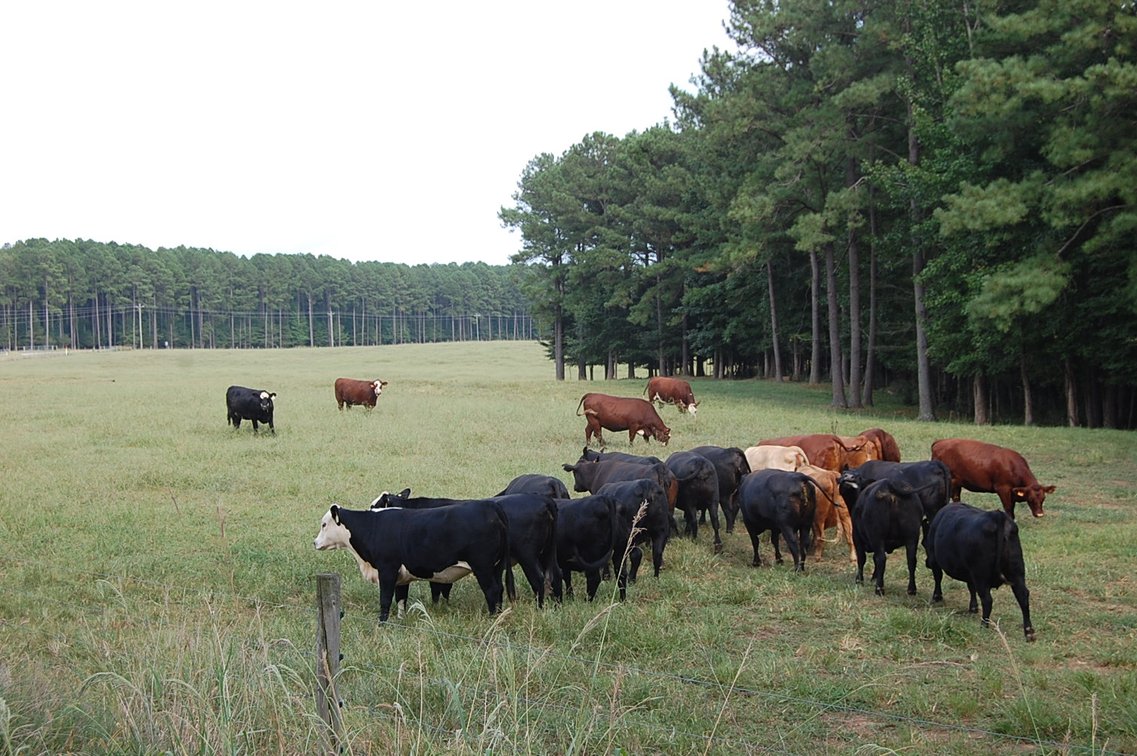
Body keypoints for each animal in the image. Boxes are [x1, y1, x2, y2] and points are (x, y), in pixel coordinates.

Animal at [313, 502, 508, 622]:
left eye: (324, 524)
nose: (315, 542)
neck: (372, 526)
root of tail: (490, 506)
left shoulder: (387, 569)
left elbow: (385, 599)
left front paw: (382, 623)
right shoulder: (401, 576)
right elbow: (401, 598)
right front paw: (401, 620)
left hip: (483, 567)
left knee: (492, 590)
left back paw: (492, 619)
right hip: (496, 568)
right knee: (499, 590)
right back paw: (500, 616)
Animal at [370, 490, 559, 607]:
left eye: (375, 506)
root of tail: (542, 500)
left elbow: (437, 588)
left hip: (527, 556)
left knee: (537, 580)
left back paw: (539, 608)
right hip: (544, 555)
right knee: (554, 576)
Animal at [925, 502, 1036, 641]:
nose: (926, 563)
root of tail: (997, 516)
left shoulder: (935, 560)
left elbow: (938, 577)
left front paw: (937, 597)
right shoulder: (970, 573)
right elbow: (971, 587)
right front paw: (973, 607)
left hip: (981, 575)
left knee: (987, 599)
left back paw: (984, 625)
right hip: (1017, 571)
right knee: (1023, 596)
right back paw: (1029, 631)